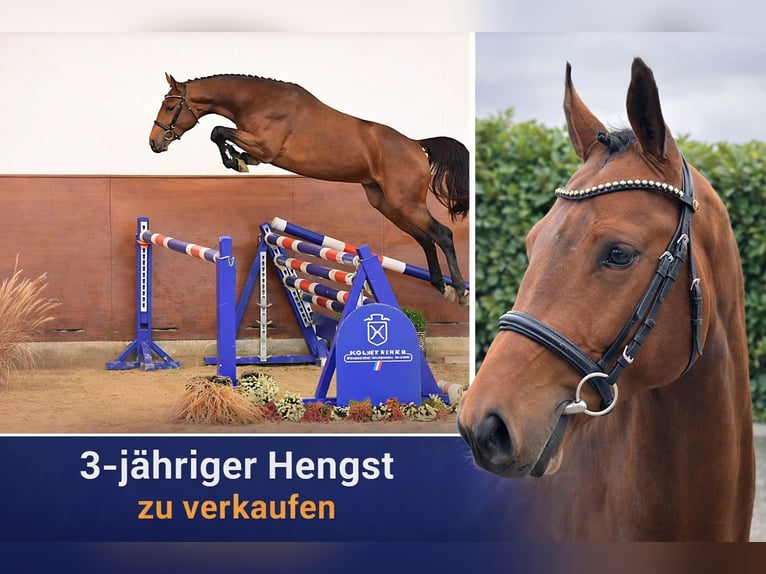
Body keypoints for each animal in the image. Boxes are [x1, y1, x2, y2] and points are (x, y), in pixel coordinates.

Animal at [148, 73, 469, 305]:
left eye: (169, 106)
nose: (154, 143)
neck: (257, 100)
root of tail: (416, 145)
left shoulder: (265, 146)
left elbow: (217, 132)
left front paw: (235, 161)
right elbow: (221, 135)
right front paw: (239, 160)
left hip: (405, 203)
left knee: (442, 234)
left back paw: (460, 291)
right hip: (388, 204)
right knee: (426, 239)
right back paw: (441, 286)